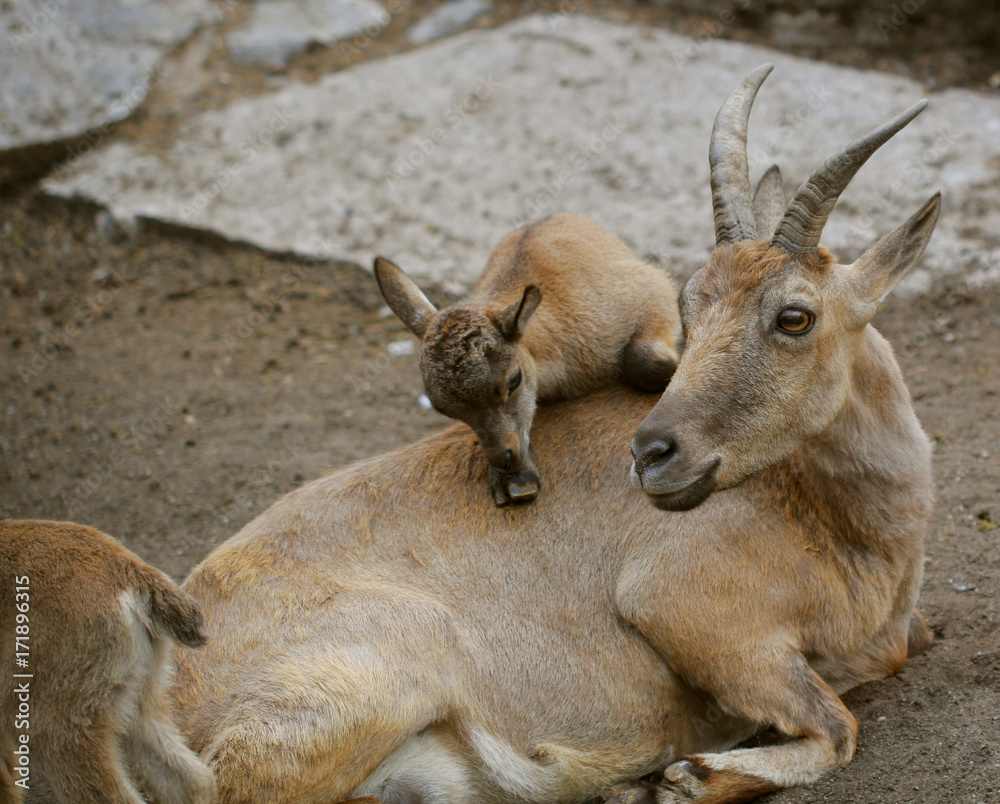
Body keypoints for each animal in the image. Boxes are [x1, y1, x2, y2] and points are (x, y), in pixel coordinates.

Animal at [374, 212, 681, 505]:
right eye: (443, 409)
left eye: (514, 380)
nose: (504, 459)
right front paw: (513, 483)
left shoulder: (651, 291)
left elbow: (643, 360)